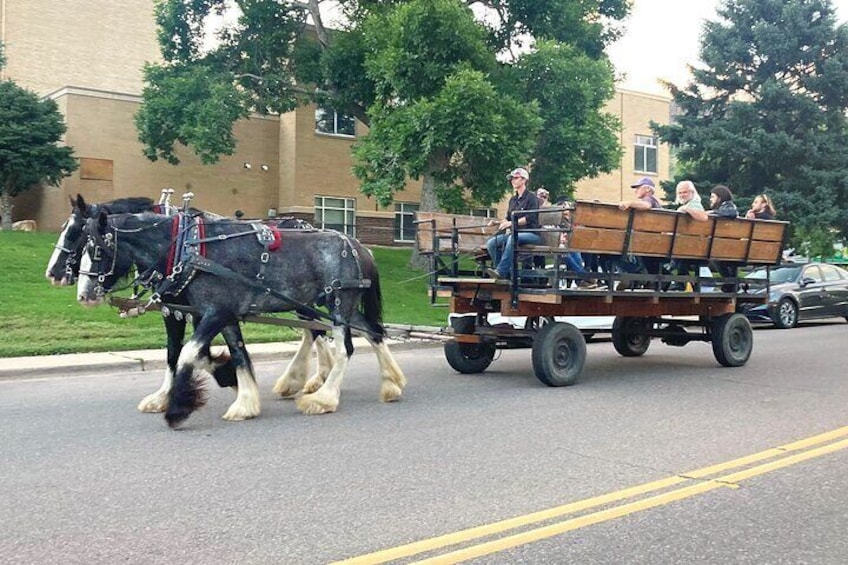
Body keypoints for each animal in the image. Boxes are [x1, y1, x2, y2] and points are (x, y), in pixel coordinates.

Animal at [47, 196, 334, 412]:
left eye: (77, 235)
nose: (52, 274)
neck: (177, 247)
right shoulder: (179, 309)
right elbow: (177, 352)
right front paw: (167, 395)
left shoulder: (202, 310)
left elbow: (194, 352)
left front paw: (225, 376)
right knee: (314, 330)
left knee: (317, 330)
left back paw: (312, 379)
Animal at [74, 212, 406, 428]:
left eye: (97, 250)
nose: (84, 294)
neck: (189, 250)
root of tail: (360, 246)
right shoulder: (221, 314)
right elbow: (236, 355)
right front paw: (243, 399)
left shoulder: (215, 312)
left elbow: (187, 354)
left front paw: (177, 408)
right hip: (336, 305)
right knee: (373, 332)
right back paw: (391, 383)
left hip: (338, 304)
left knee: (344, 347)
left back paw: (323, 398)